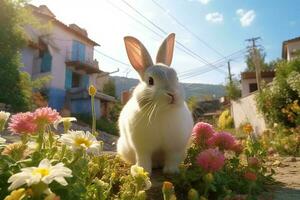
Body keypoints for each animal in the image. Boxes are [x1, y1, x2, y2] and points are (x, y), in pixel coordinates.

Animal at [116, 33, 193, 174]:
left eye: (176, 78)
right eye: (150, 81)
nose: (172, 94)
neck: (162, 111)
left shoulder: (174, 147)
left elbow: (172, 158)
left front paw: (171, 171)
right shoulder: (142, 147)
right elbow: (143, 158)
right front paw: (142, 171)